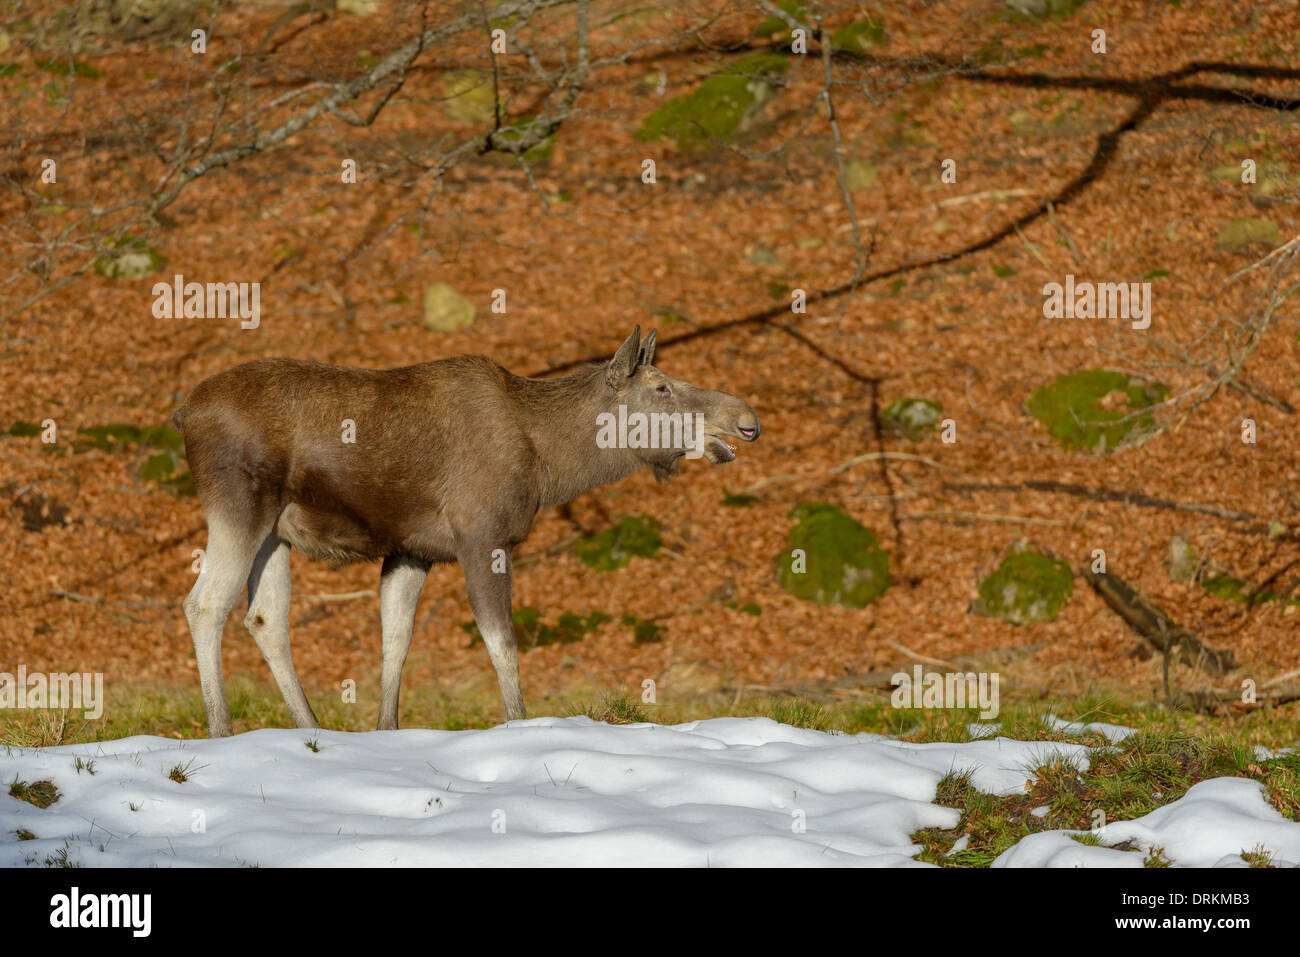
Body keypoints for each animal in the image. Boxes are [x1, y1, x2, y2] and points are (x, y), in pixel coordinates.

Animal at [178, 325, 759, 738]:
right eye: (661, 386)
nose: (747, 419)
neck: (550, 463)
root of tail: (183, 413)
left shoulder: (413, 549)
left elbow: (396, 641)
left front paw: (386, 729)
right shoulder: (484, 538)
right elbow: (503, 644)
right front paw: (520, 722)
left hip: (275, 531)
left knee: (264, 617)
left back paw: (310, 728)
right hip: (239, 503)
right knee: (205, 603)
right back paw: (221, 730)